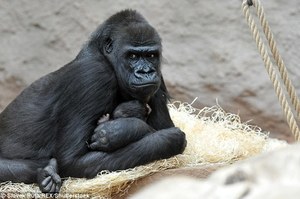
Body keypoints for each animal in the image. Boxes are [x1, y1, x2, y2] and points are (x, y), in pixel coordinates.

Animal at [0, 9, 186, 193]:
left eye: (151, 55)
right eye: (132, 56)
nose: (146, 72)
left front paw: (116, 132)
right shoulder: (92, 74)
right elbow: (72, 160)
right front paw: (132, 130)